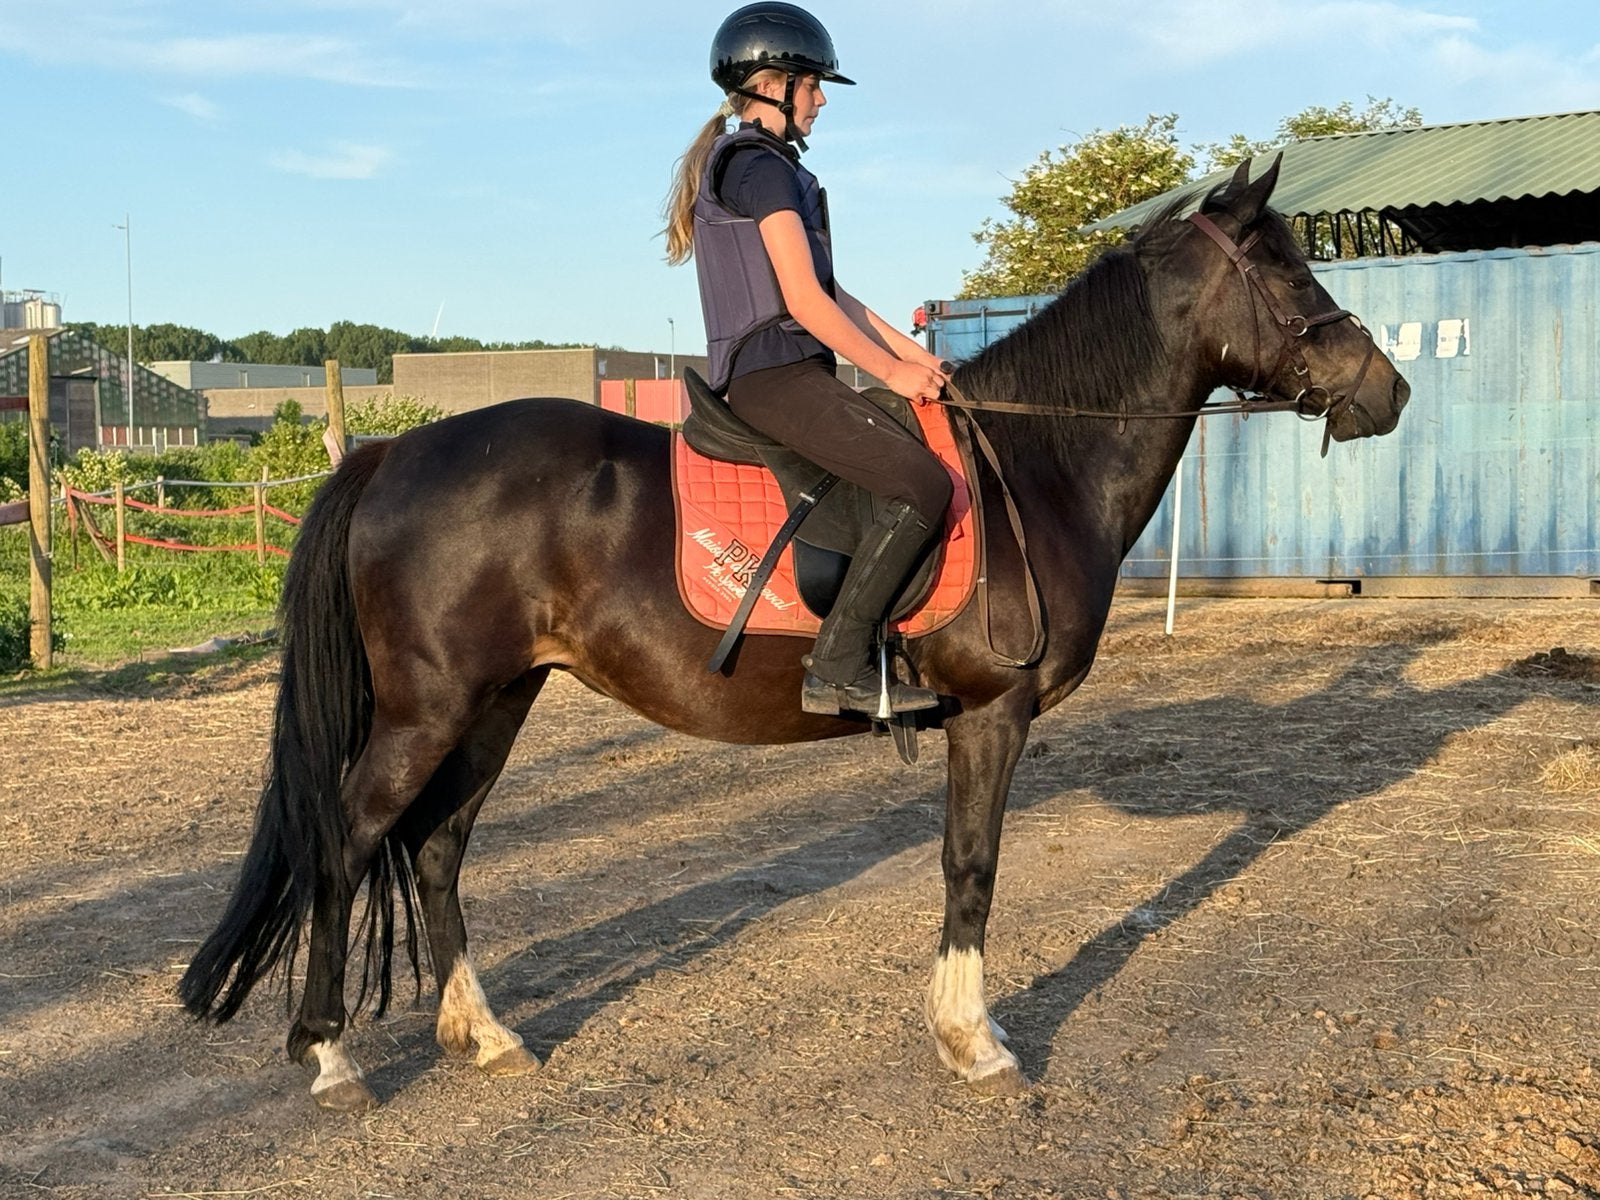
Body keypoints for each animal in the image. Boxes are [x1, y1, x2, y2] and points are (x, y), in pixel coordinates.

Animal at [179, 159, 1409, 1111]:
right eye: (1287, 271)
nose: (1388, 390)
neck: (1036, 463)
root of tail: (391, 450)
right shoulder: (992, 715)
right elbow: (971, 868)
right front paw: (973, 1041)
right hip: (428, 711)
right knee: (345, 842)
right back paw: (329, 1056)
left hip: (496, 703)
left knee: (437, 847)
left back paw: (482, 1036)